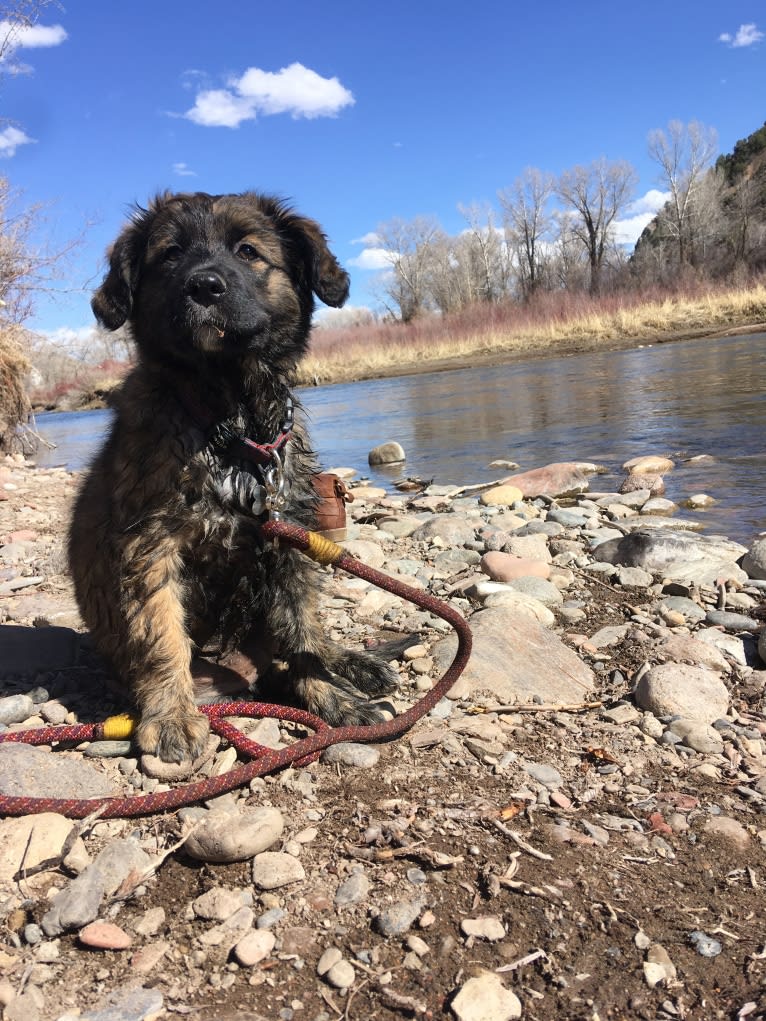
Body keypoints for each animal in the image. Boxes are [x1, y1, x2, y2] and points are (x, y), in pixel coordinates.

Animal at [68, 195, 398, 763]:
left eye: (248, 251)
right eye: (170, 254)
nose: (204, 286)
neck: (230, 423)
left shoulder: (288, 540)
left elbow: (302, 629)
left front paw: (333, 698)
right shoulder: (149, 545)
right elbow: (160, 631)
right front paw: (171, 716)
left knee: (305, 640)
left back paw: (351, 665)